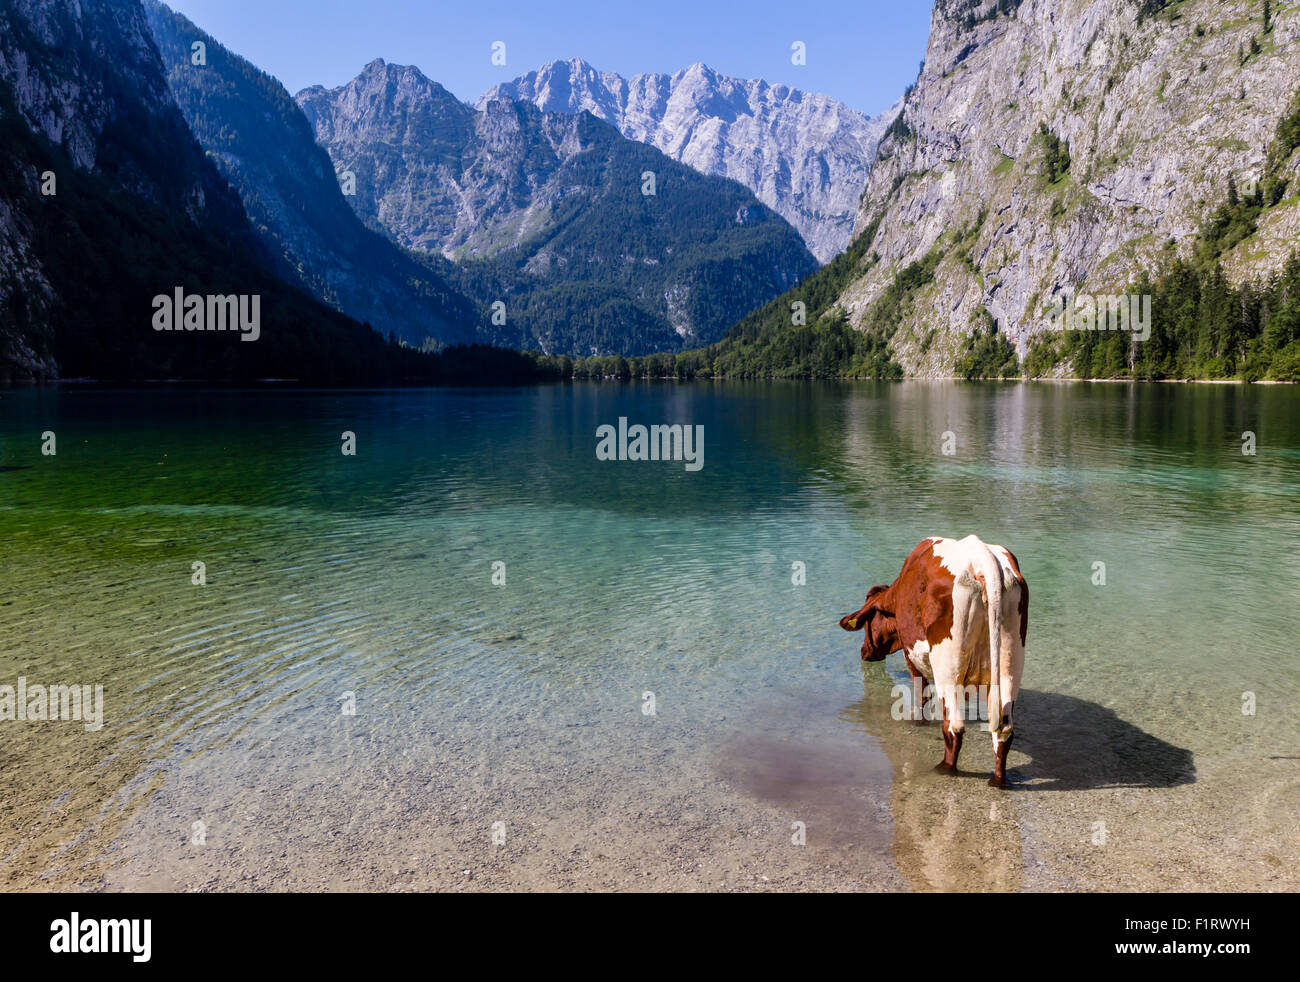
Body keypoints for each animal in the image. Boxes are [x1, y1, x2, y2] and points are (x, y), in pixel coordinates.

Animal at [837, 533, 1029, 785]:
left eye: (869, 622)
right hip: (1010, 663)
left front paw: (916, 721)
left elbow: (921, 692)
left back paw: (945, 768)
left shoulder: (910, 653)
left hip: (948, 666)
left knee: (954, 726)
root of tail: (982, 557)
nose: (864, 652)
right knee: (1003, 730)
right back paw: (998, 780)